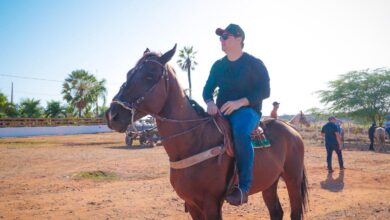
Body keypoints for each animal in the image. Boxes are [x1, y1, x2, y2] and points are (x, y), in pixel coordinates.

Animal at [105, 45, 310, 220]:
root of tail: (292, 130)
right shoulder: (192, 204)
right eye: (128, 73)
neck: (194, 140)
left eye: (149, 75)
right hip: (269, 182)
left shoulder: (211, 203)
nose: (112, 115)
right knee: (276, 212)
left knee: (294, 212)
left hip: (292, 179)